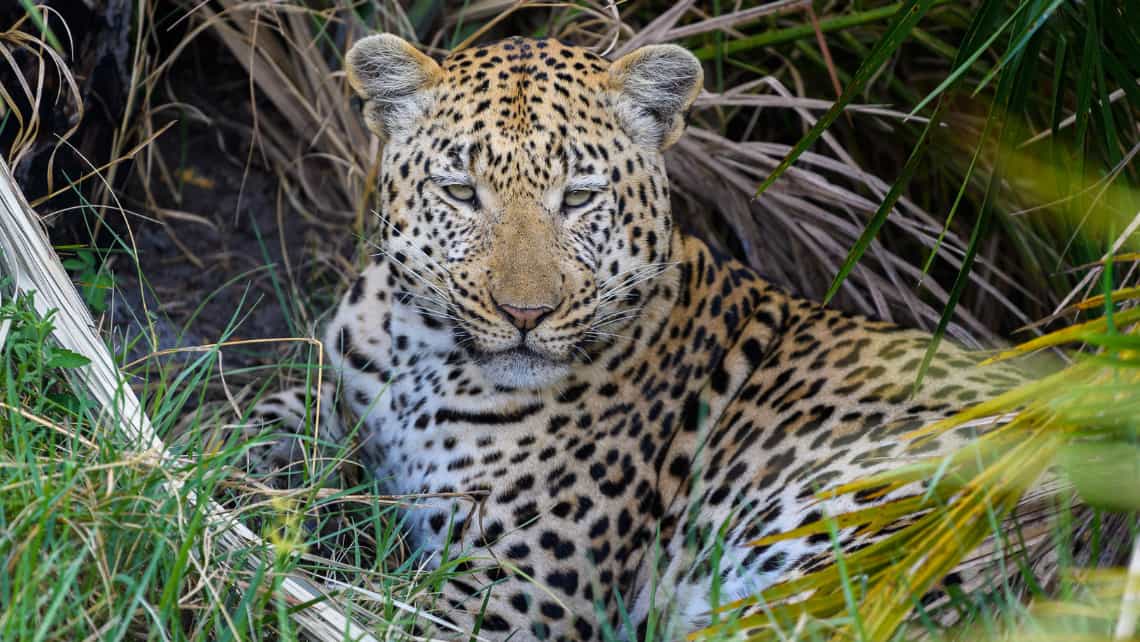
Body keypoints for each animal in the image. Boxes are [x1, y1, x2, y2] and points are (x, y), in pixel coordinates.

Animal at [245, 35, 1044, 642]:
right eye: (462, 192)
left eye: (579, 198)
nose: (525, 313)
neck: (425, 355)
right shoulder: (341, 394)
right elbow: (262, 423)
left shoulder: (506, 597)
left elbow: (383, 610)